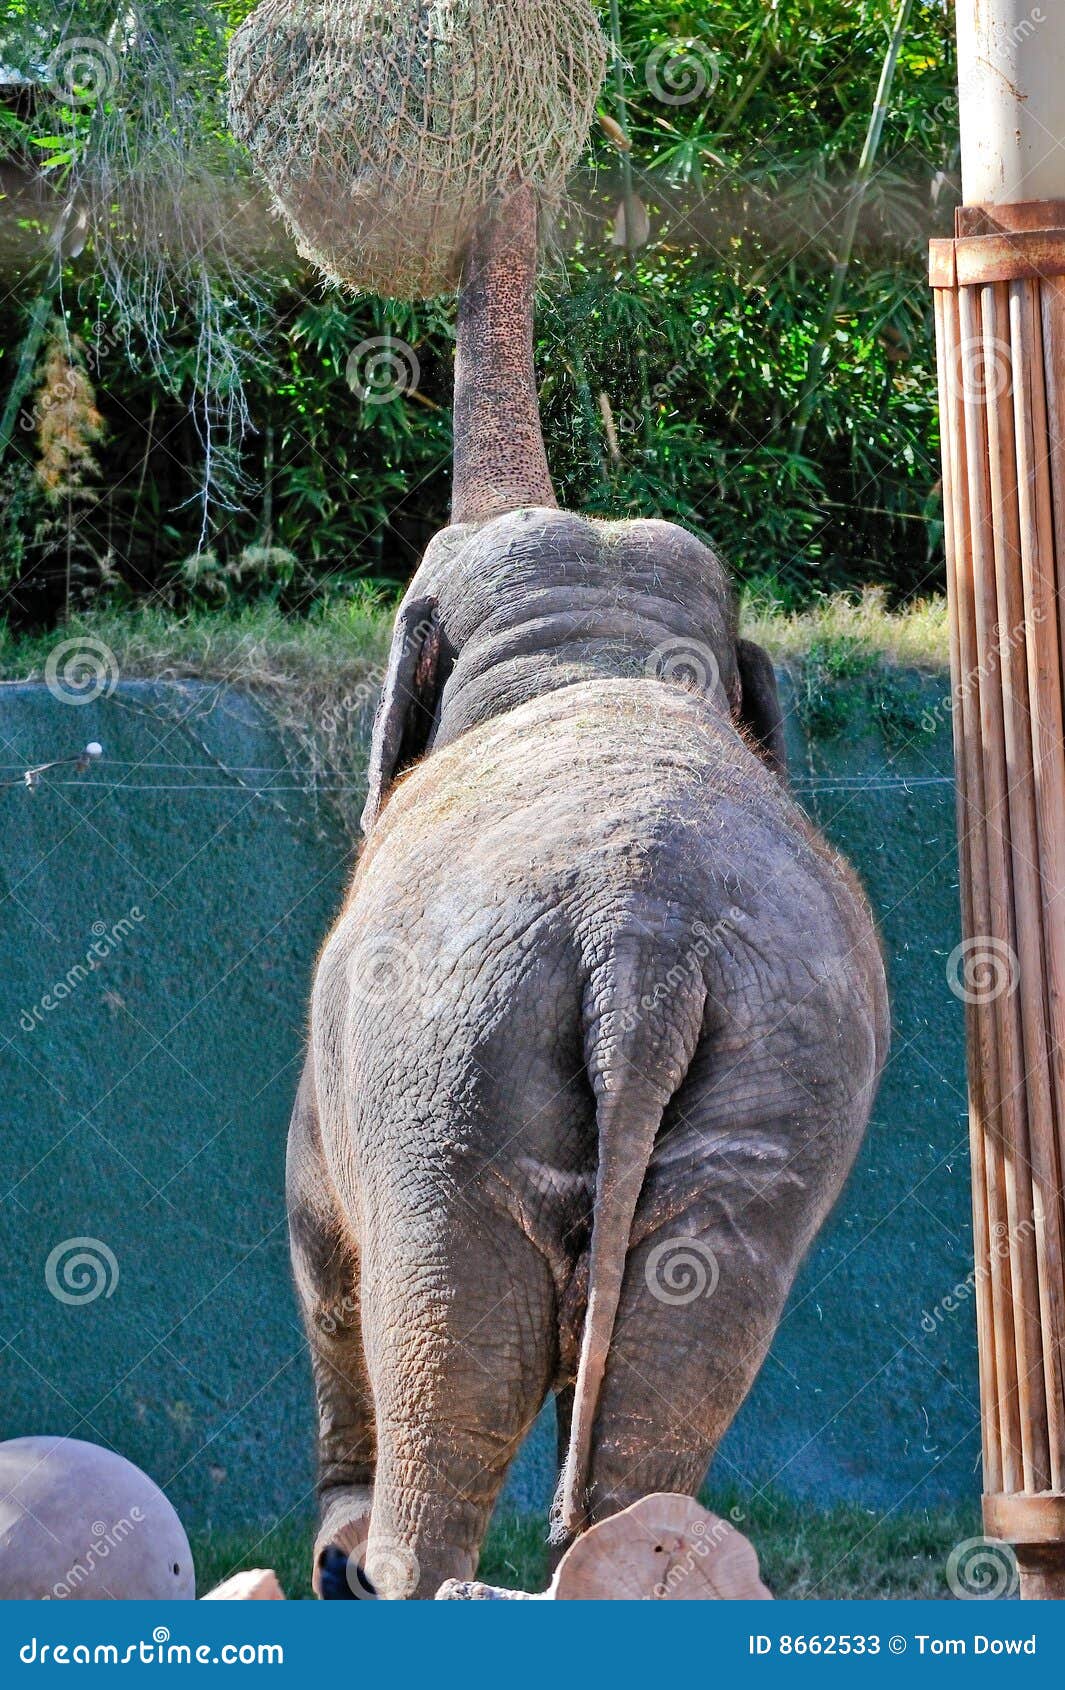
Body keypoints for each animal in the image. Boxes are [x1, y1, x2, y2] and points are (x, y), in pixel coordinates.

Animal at [287, 188, 889, 1599]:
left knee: (447, 1354)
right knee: (682, 1346)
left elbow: (314, 1234)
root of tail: (643, 934)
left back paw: (394, 1573)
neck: (592, 648)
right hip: (774, 1080)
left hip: (445, 1077)